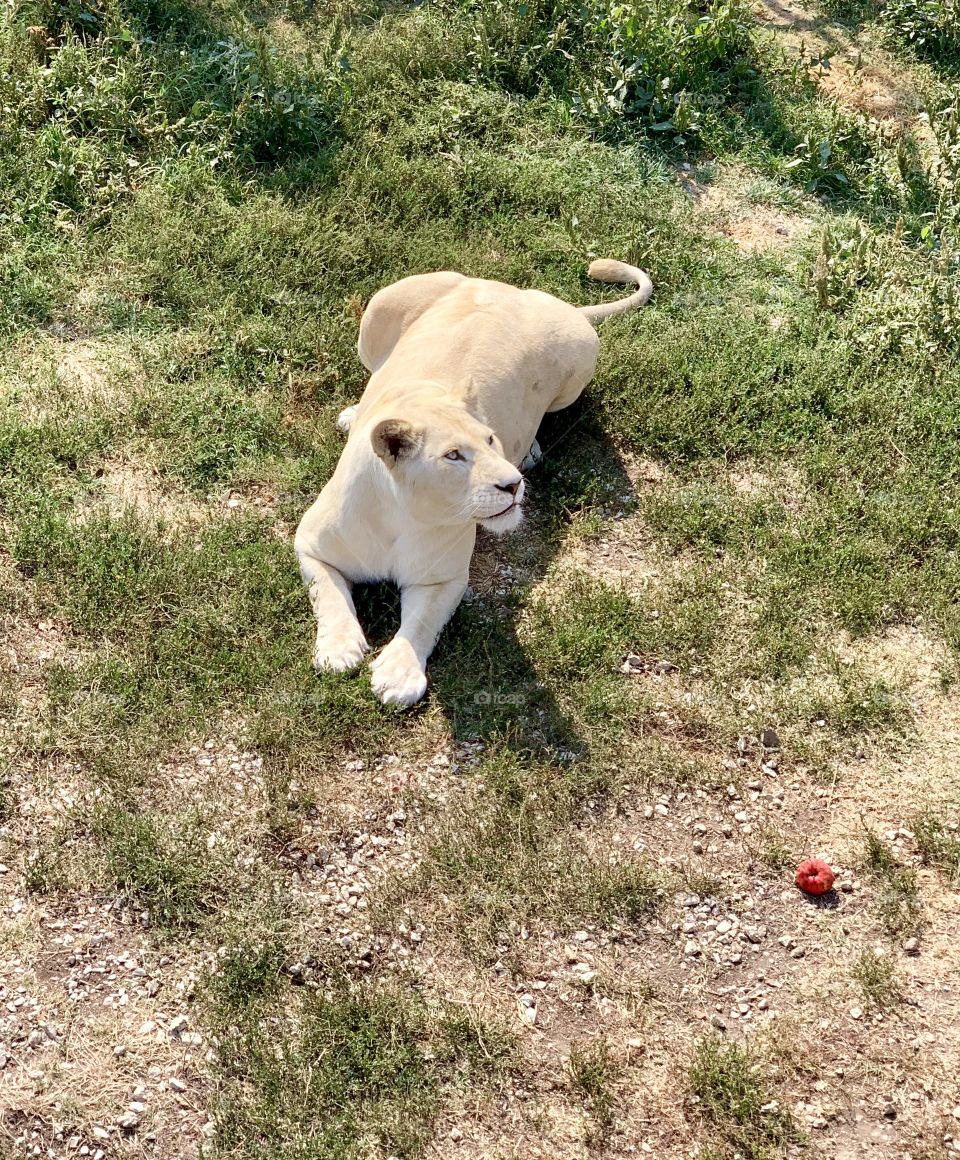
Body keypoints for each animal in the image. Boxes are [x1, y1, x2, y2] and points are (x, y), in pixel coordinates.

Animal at [294, 259, 652, 706]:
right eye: (453, 456)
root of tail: (512, 289)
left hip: (579, 361)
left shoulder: (443, 579)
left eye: (490, 440)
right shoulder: (310, 544)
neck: (400, 518)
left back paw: (532, 449)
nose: (513, 485)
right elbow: (328, 595)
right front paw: (339, 650)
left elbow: (421, 625)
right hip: (379, 310)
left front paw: (399, 674)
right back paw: (352, 415)